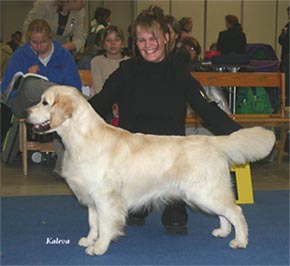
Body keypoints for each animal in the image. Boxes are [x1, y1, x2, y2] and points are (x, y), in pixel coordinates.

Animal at [24, 85, 274, 256]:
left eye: (45, 103)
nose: (25, 113)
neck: (81, 138)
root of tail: (212, 141)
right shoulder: (91, 196)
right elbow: (93, 223)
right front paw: (89, 240)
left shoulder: (105, 197)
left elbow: (105, 224)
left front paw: (100, 247)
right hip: (205, 194)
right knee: (224, 214)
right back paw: (222, 232)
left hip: (204, 193)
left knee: (236, 212)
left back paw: (240, 241)